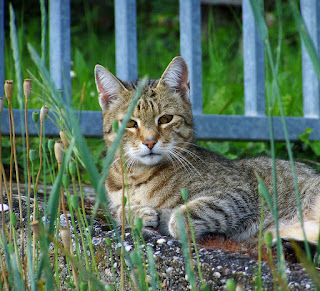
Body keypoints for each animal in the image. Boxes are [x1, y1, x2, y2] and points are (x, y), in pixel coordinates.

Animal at [94, 57, 320, 244]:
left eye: (165, 119)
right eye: (130, 123)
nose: (150, 142)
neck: (138, 176)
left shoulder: (241, 192)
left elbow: (188, 214)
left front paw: (169, 218)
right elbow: (119, 211)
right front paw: (138, 213)